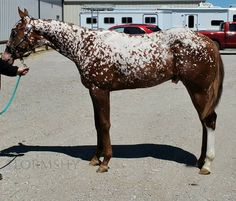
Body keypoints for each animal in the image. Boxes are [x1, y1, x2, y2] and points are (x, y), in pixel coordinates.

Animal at [2, 8, 224, 174]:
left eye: (14, 31)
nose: (5, 57)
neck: (84, 44)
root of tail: (206, 41)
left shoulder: (100, 90)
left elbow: (104, 124)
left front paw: (105, 161)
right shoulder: (95, 92)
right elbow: (97, 125)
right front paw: (95, 158)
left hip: (199, 89)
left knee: (209, 121)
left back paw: (207, 164)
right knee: (204, 122)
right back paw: (200, 160)